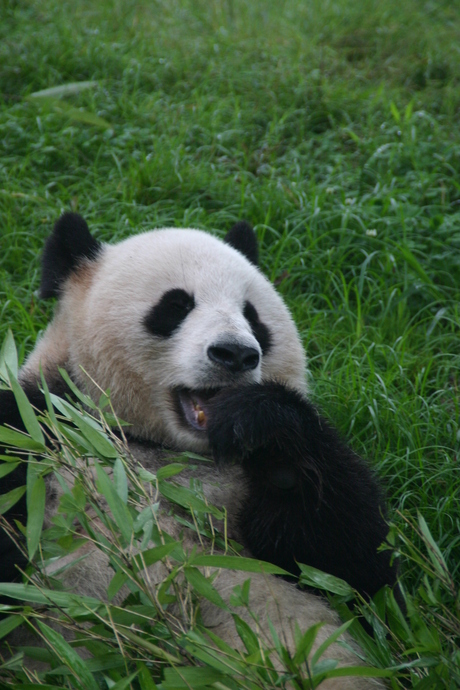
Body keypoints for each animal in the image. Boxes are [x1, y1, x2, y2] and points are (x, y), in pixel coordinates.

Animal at [0, 212, 396, 684]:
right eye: (175, 306)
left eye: (252, 316)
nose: (236, 354)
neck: (160, 446)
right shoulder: (41, 426)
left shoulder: (248, 483)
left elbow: (353, 567)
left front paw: (258, 418)